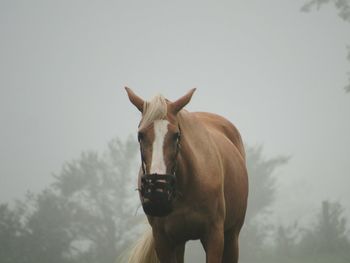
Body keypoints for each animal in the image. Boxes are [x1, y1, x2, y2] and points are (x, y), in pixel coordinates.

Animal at [124, 88, 247, 263]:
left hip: (232, 237)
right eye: (140, 135)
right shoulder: (163, 240)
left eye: (176, 135)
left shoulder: (215, 236)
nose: (158, 195)